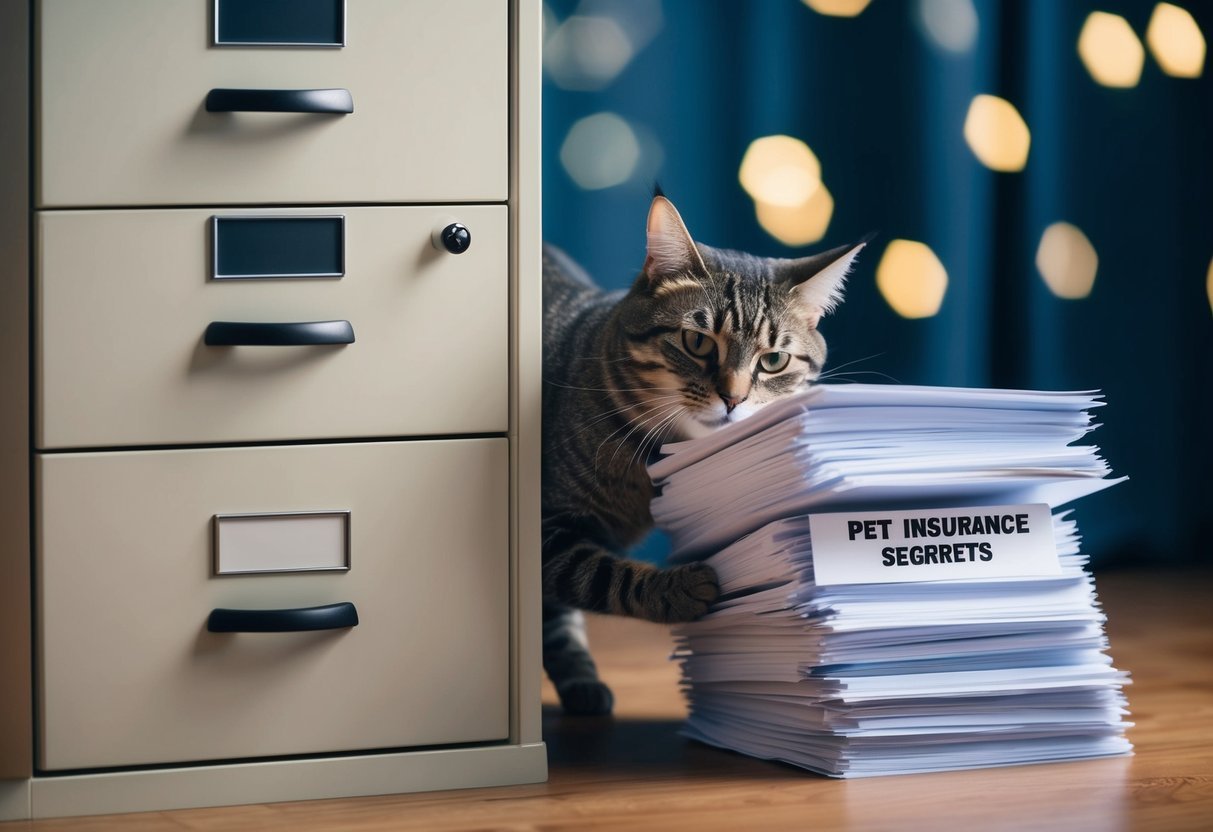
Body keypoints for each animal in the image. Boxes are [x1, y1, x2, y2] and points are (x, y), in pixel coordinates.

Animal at [540, 195, 863, 717]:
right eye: (697, 342)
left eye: (773, 360)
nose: (733, 398)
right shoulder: (546, 528)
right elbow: (599, 574)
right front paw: (678, 588)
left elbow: (562, 612)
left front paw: (582, 683)